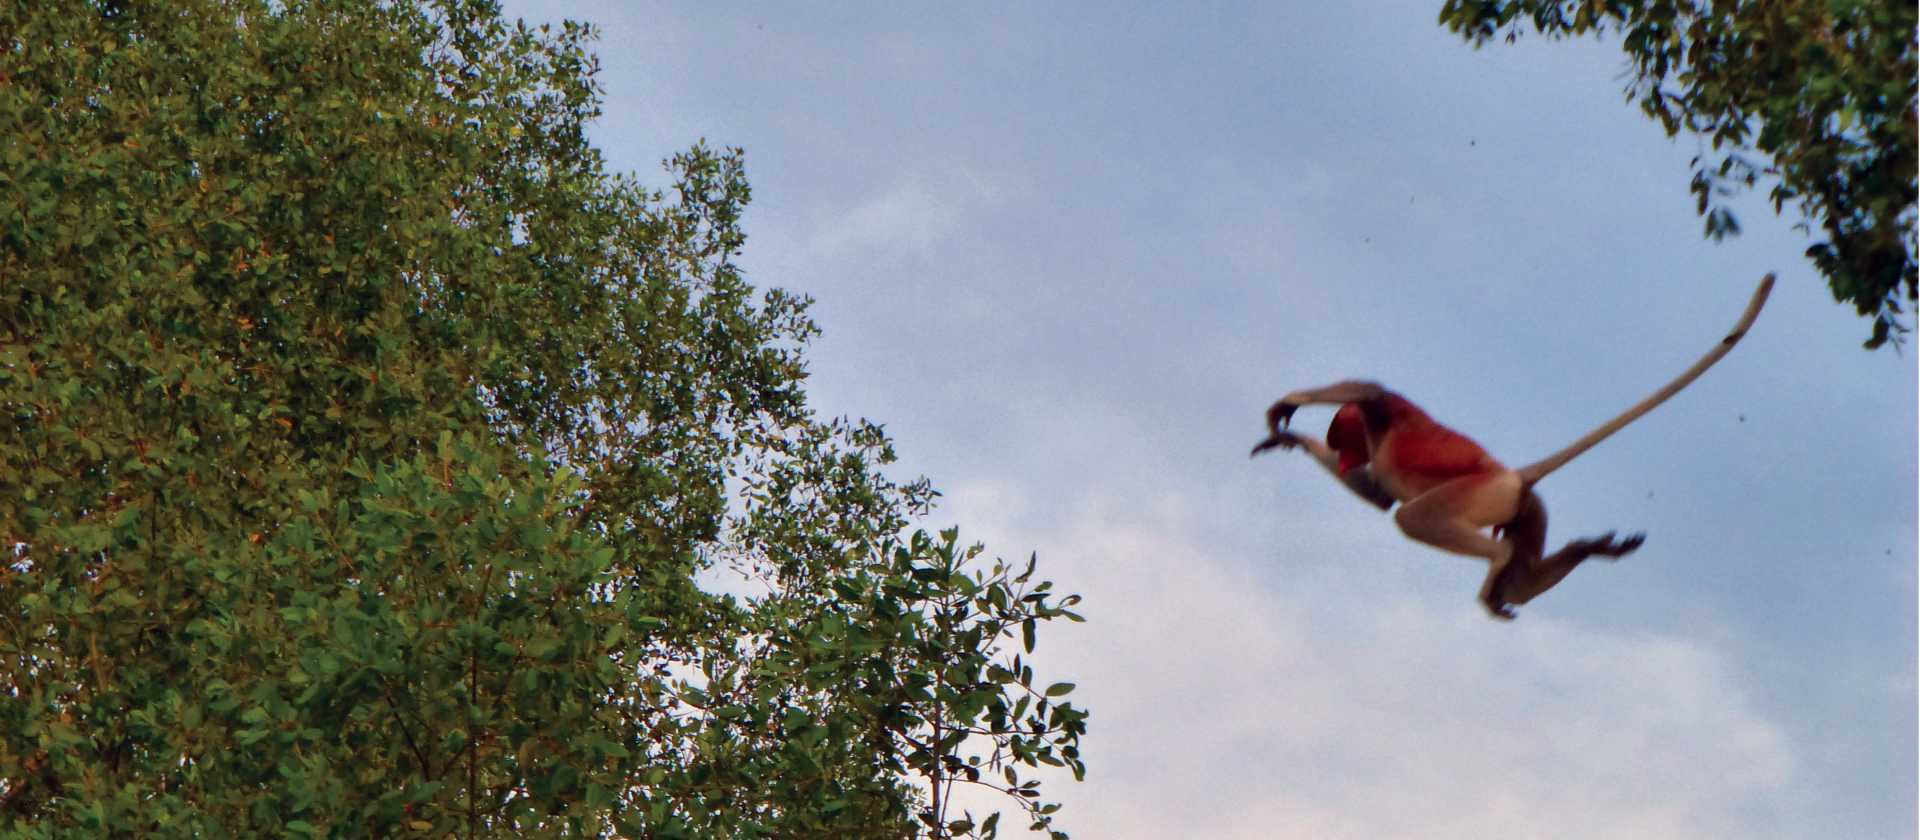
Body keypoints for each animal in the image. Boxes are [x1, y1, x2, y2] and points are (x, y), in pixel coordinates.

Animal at [1252, 274, 1774, 619]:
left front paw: (1286, 408)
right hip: (1528, 509)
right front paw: (1287, 440)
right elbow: (1376, 495)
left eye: (1343, 438)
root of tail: (1515, 475)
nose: (1343, 458)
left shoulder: (1391, 415)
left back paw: (1498, 569)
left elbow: (1373, 392)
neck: (1374, 436)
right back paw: (1588, 549)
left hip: (1479, 496)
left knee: (1416, 519)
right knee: (1522, 581)